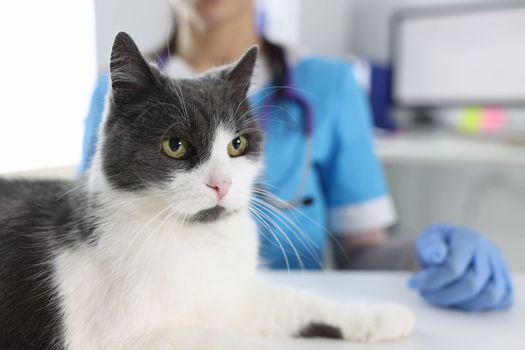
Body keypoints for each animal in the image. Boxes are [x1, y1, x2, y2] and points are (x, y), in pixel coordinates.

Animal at [0, 31, 414, 348]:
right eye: (175, 146)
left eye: (237, 145)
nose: (222, 183)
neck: (196, 241)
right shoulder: (120, 337)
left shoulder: (234, 295)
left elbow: (288, 303)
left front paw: (378, 316)